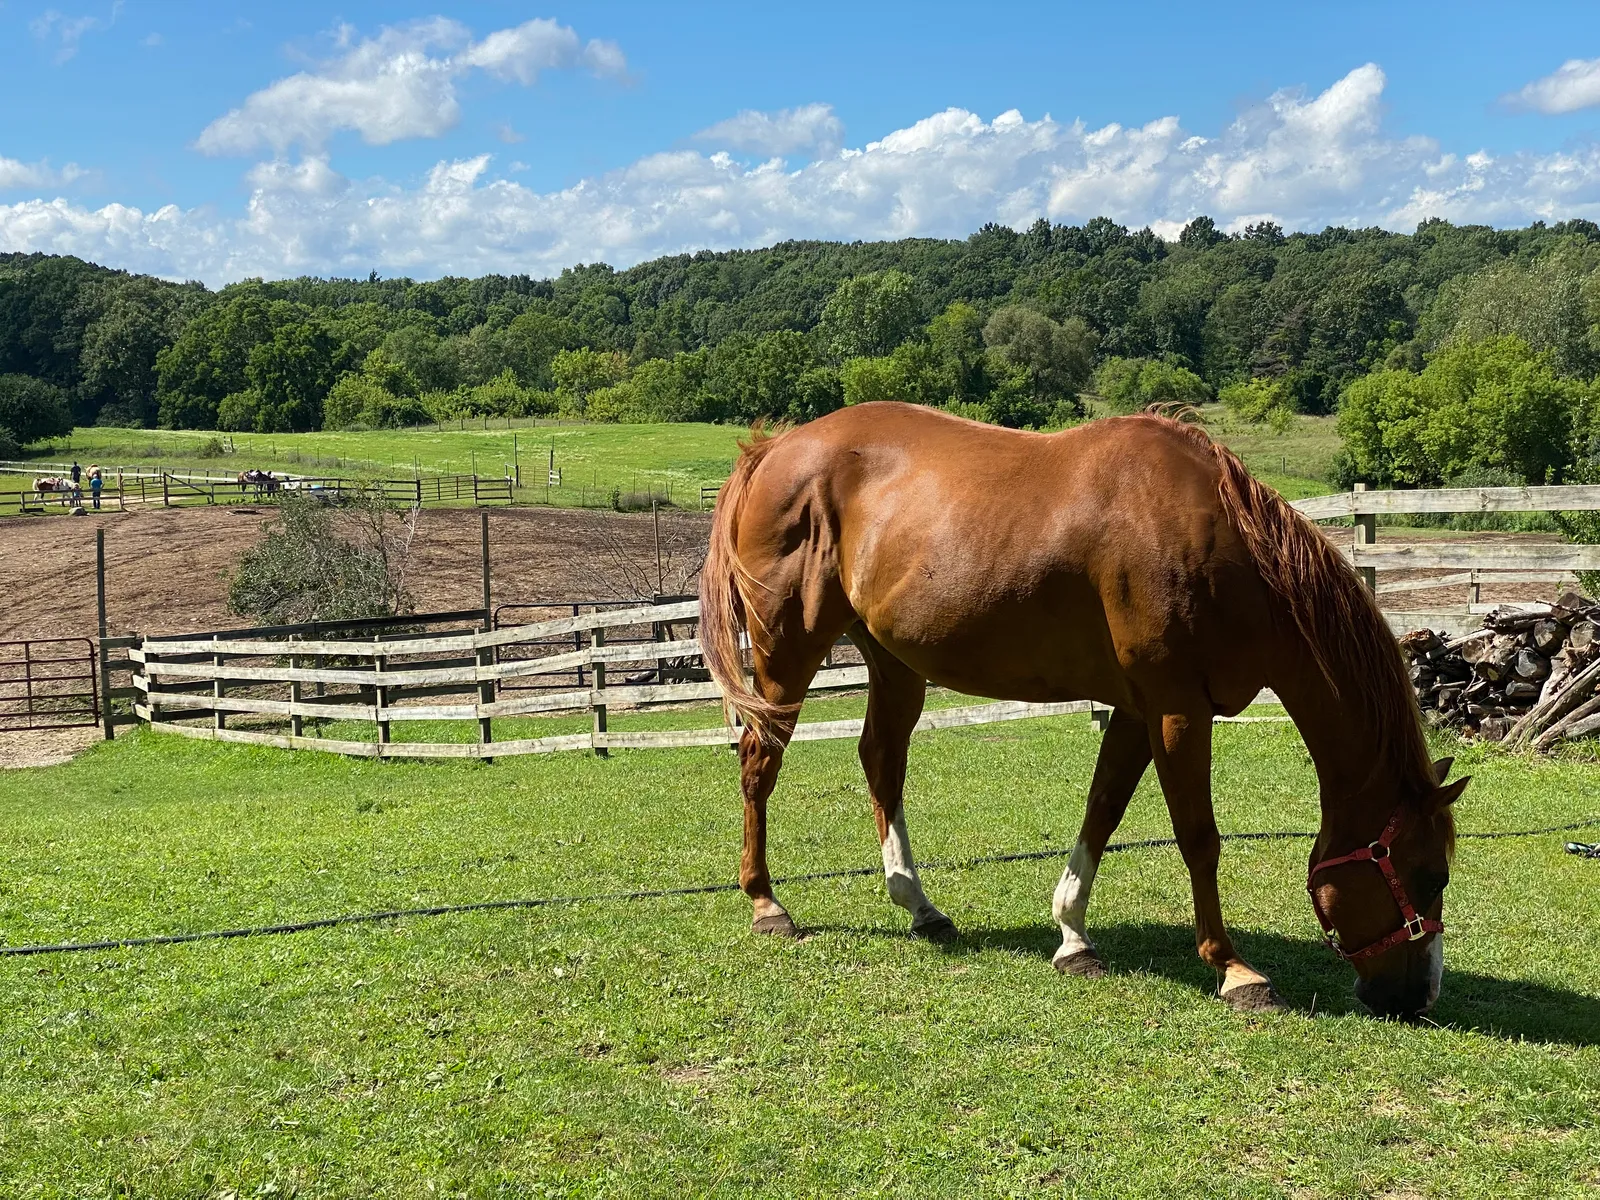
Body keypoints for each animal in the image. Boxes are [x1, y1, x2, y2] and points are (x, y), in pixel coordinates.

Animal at [698, 402, 1467, 1019]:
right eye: (1430, 874)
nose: (1420, 996)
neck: (1223, 546)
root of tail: (774, 449)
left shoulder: (1137, 712)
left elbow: (1102, 812)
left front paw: (1072, 936)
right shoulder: (1176, 712)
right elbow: (1198, 837)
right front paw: (1233, 969)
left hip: (893, 663)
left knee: (881, 761)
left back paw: (920, 906)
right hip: (788, 649)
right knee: (760, 761)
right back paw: (768, 903)